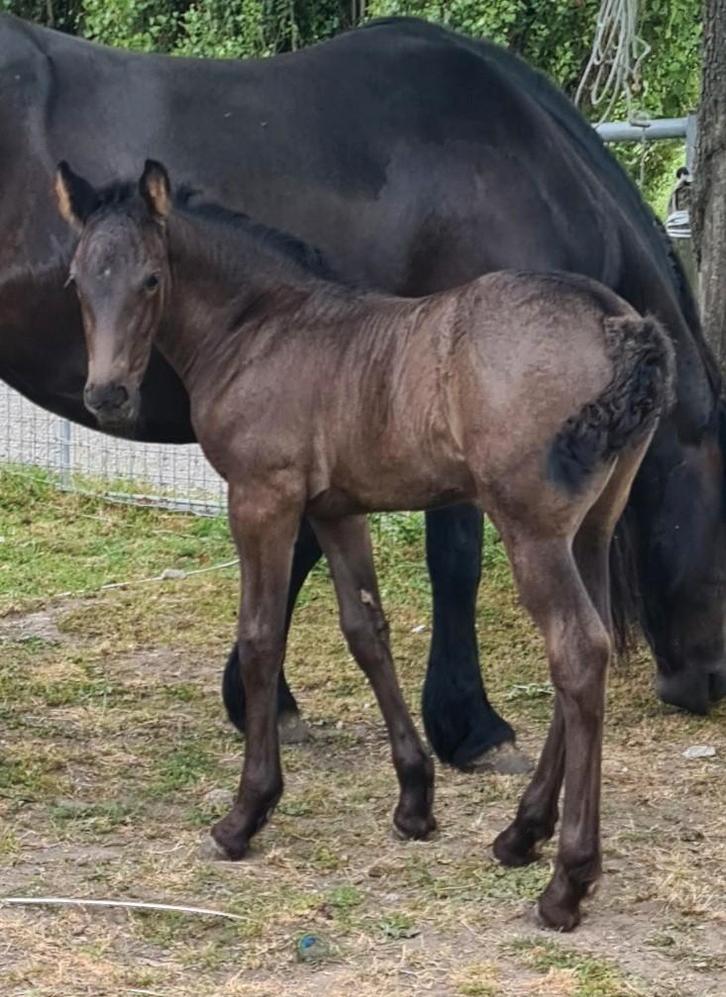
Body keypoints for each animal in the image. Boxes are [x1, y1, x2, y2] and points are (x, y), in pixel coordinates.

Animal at [1, 16, 724, 774]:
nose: (708, 682)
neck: (519, 168)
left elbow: (306, 553)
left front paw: (264, 701)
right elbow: (454, 559)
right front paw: (470, 725)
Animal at [54, 159, 674, 931]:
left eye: (150, 280)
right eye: (79, 281)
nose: (106, 395)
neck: (257, 329)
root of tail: (616, 320)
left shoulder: (262, 497)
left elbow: (261, 638)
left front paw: (245, 814)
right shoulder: (336, 509)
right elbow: (365, 630)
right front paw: (414, 801)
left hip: (531, 527)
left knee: (578, 653)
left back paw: (566, 881)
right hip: (590, 528)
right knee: (588, 654)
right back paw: (519, 833)